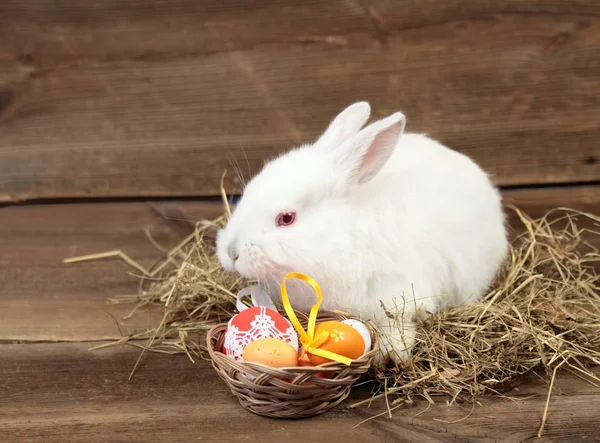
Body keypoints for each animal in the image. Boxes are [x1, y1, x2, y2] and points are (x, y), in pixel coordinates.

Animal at [216, 103, 506, 368]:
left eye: (286, 218)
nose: (231, 253)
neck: (342, 236)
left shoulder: (400, 297)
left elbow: (397, 326)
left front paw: (390, 356)